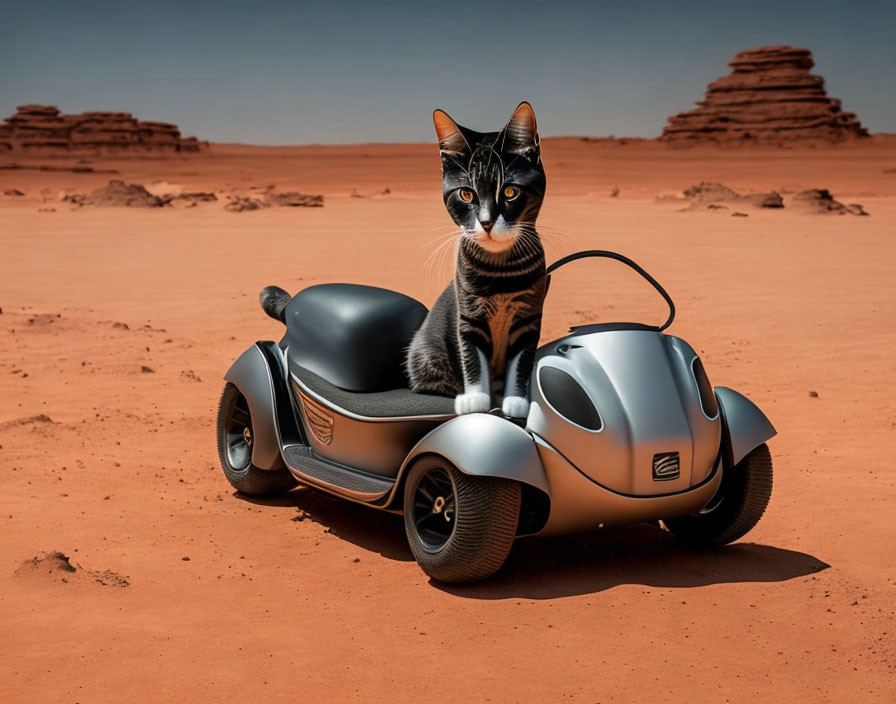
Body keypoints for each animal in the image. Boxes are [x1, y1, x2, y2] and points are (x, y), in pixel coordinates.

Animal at [406, 99, 544, 418]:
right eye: (466, 194)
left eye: (510, 191)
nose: (487, 222)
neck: (500, 272)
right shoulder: (468, 313)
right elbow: (472, 356)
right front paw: (476, 399)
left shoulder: (529, 317)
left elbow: (522, 361)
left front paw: (516, 400)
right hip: (425, 352)